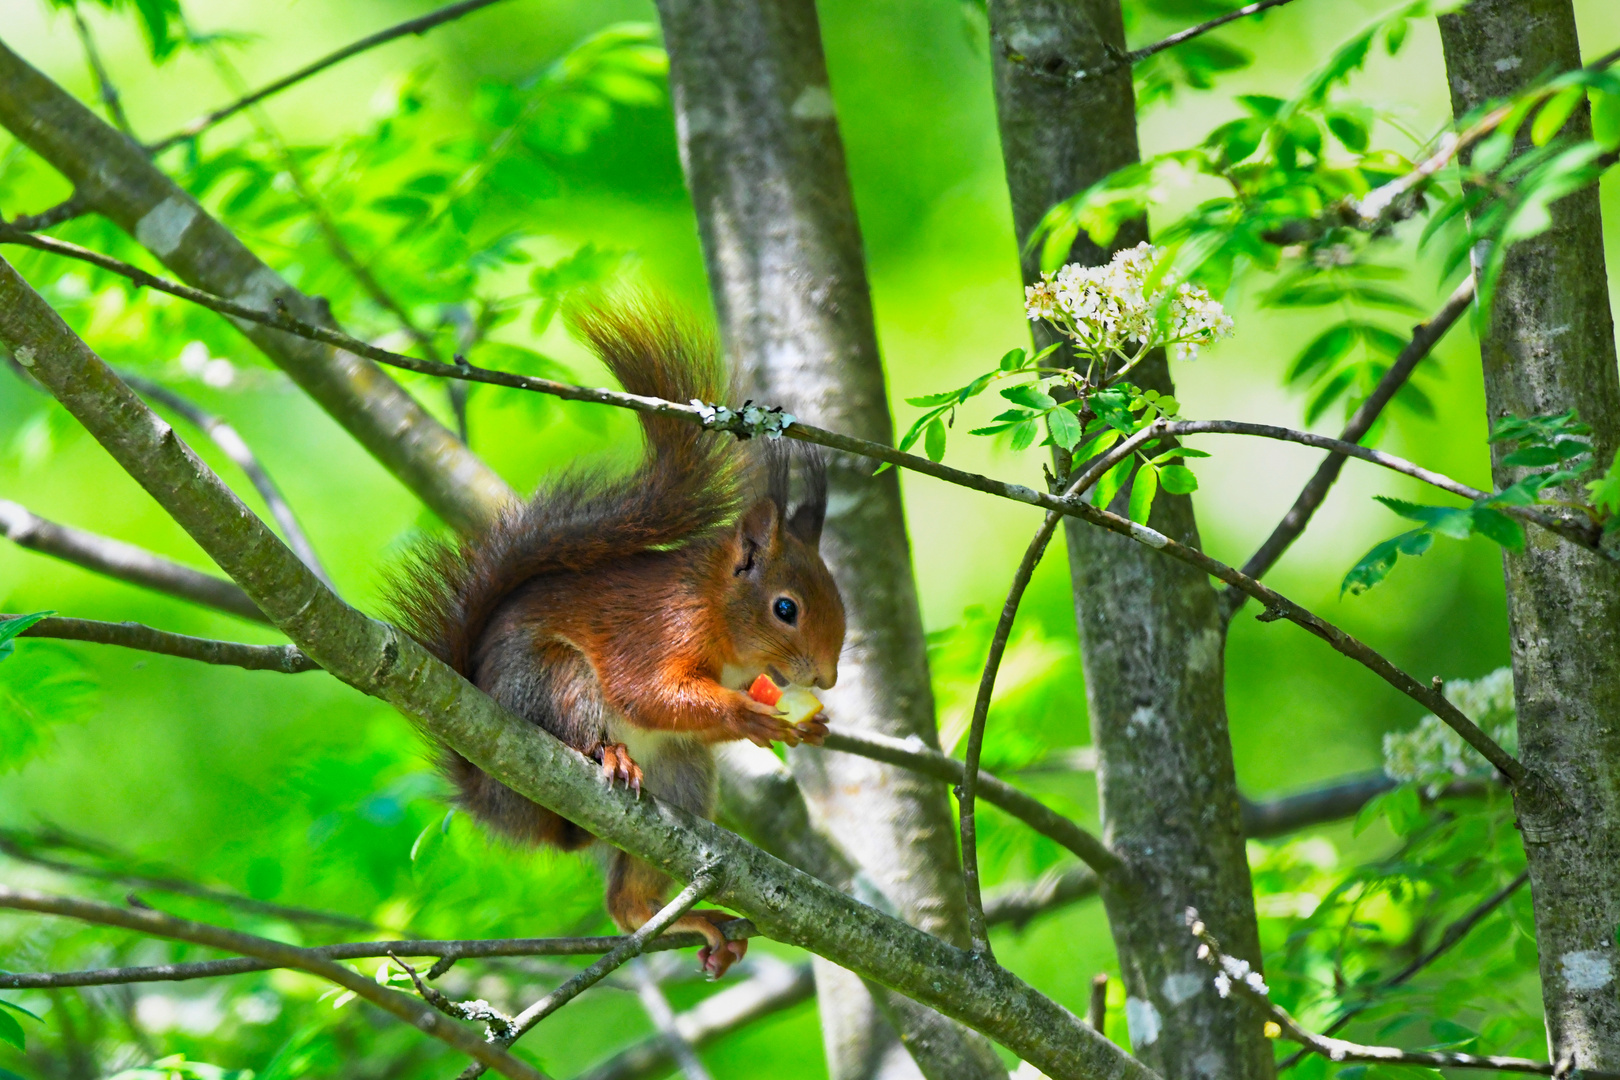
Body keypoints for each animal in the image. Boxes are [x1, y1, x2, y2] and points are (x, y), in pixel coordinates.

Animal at [385, 297, 842, 977]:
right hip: (554, 682)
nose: (827, 679)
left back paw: (695, 921)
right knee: (583, 724)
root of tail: (496, 797)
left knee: (626, 902)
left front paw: (807, 727)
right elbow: (644, 692)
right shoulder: (659, 630)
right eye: (786, 608)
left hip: (683, 773)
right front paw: (751, 716)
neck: (718, 615)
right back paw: (609, 755)